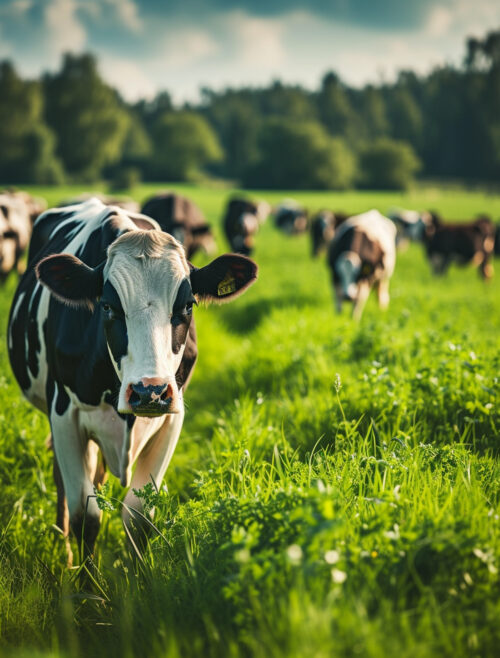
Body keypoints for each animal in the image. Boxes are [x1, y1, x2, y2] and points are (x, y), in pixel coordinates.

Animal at [8, 198, 257, 558]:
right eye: (107, 306)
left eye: (188, 305)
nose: (149, 392)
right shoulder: (64, 413)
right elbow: (85, 516)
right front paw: (82, 575)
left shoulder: (172, 418)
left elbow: (138, 517)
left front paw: (136, 572)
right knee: (62, 482)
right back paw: (61, 546)